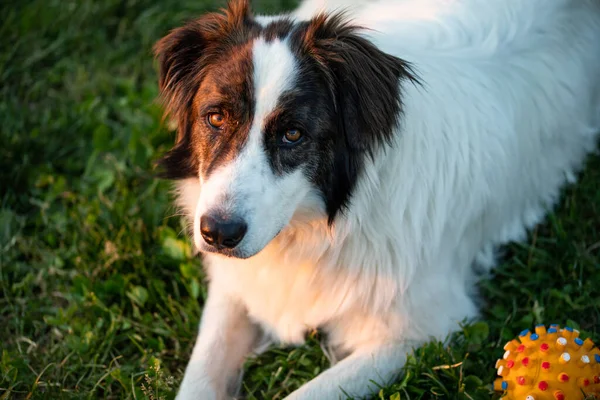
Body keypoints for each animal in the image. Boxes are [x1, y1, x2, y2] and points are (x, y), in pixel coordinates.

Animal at [154, 0, 600, 396]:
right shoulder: (235, 283)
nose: (217, 233)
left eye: (293, 134)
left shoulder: (427, 328)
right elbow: (200, 373)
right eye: (215, 117)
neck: (321, 229)